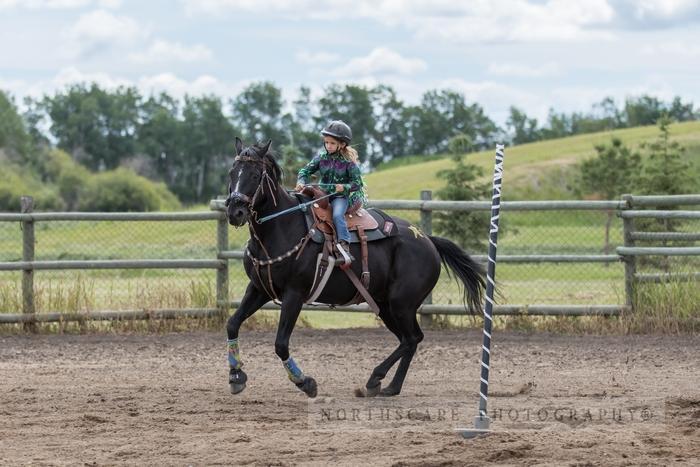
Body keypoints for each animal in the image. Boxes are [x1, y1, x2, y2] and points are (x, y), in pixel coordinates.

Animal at [226, 138, 486, 398]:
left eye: (255, 174)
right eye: (232, 172)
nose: (235, 212)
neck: (282, 227)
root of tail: (427, 240)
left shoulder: (294, 294)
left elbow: (280, 344)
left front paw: (305, 382)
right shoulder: (258, 289)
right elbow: (232, 324)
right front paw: (236, 375)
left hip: (401, 303)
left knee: (411, 338)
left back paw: (375, 379)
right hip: (385, 305)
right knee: (410, 340)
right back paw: (390, 386)